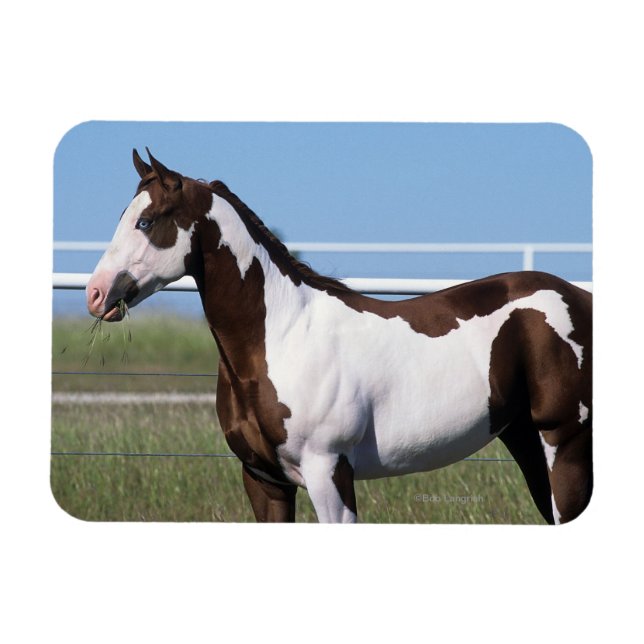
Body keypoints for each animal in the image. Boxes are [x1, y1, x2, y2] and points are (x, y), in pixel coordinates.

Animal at [86, 149, 593, 524]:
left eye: (147, 221)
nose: (96, 293)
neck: (281, 338)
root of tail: (577, 296)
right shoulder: (264, 480)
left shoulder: (328, 471)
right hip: (527, 442)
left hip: (565, 445)